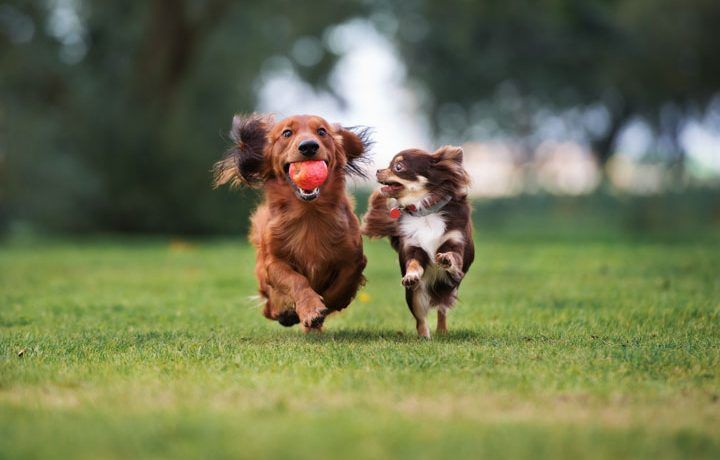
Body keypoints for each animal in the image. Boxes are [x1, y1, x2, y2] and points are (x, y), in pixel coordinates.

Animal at [214, 114, 372, 330]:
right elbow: (296, 280)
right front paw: (310, 308)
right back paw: (285, 312)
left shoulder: (354, 258)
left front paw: (325, 305)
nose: (308, 146)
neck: (309, 213)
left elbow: (342, 285)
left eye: (322, 131)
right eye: (287, 133)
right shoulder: (273, 263)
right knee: (269, 308)